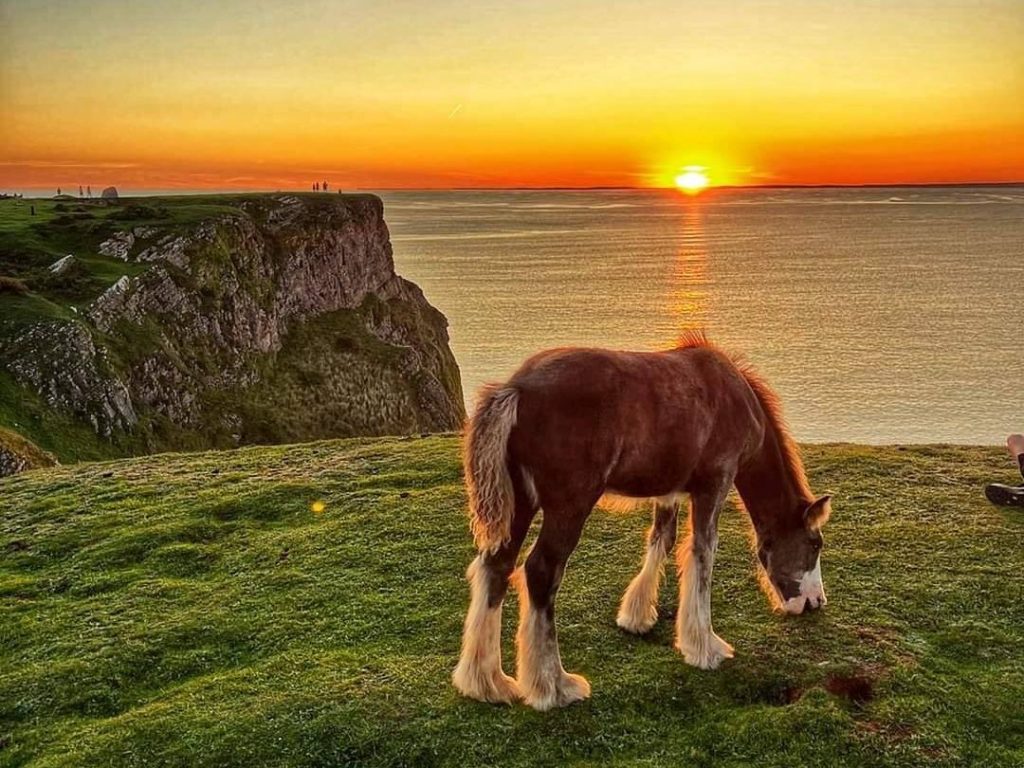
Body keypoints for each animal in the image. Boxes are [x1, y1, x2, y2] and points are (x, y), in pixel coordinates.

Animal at [451, 333, 832, 711]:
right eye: (815, 544)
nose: (814, 601)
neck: (736, 396)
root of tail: (516, 388)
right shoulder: (715, 484)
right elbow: (702, 555)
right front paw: (705, 647)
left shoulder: (669, 490)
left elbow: (662, 539)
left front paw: (636, 616)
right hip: (569, 506)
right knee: (541, 571)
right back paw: (554, 686)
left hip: (521, 503)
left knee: (496, 567)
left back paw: (487, 682)